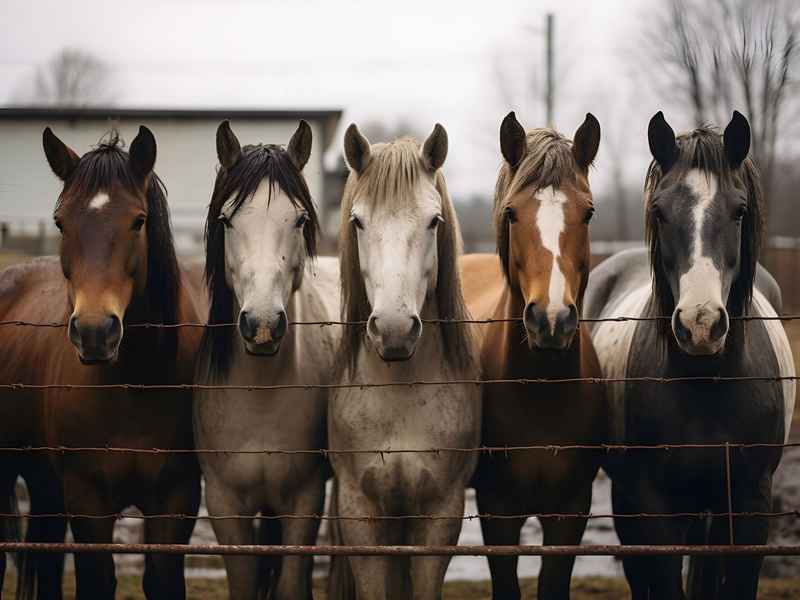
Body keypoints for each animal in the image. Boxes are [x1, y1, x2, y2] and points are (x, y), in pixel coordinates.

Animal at [0, 126, 203, 600]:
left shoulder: (176, 499)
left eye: (138, 220)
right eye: (60, 222)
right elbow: (96, 579)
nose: (95, 332)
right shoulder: (88, 498)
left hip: (44, 485)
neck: (136, 384)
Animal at [194, 120, 339, 600]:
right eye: (227, 219)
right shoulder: (223, 504)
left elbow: (292, 582)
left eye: (299, 218)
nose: (261, 324)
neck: (261, 392)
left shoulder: (304, 499)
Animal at [460, 112, 606, 600]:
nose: (551, 318)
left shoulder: (570, 513)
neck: (541, 394)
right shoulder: (497, 512)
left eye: (589, 211)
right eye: (511, 212)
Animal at [584, 111, 795, 600]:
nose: (700, 323)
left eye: (740, 211)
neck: (707, 383)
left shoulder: (750, 505)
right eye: (659, 211)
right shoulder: (653, 506)